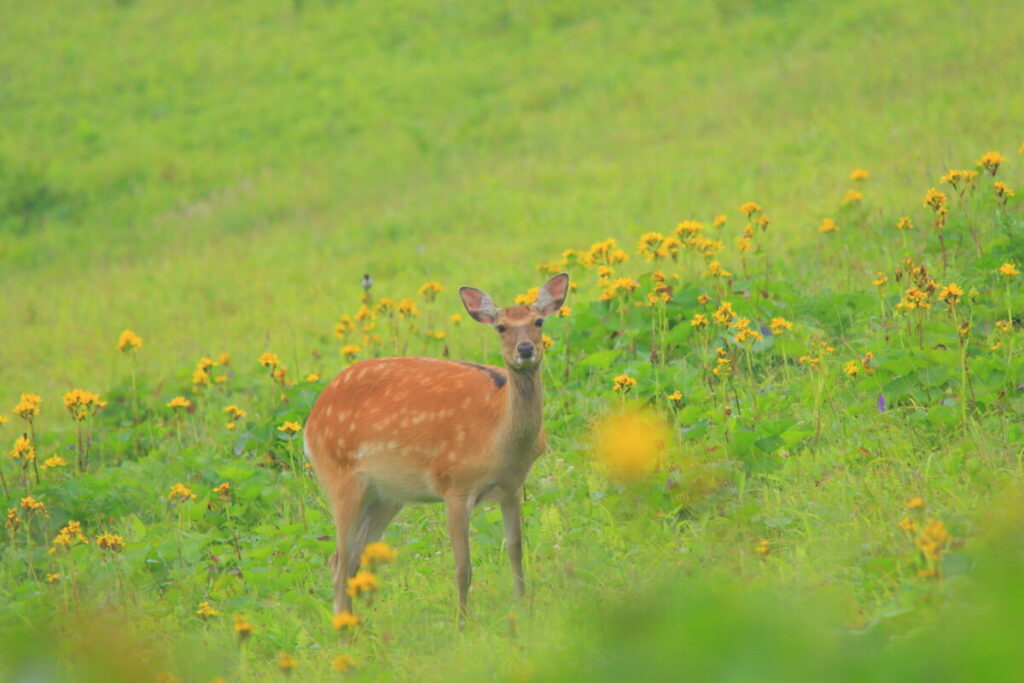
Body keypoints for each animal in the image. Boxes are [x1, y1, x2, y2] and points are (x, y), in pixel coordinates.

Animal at [307, 270, 573, 618]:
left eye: (539, 321)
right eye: (501, 327)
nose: (526, 349)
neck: (497, 435)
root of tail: (310, 423)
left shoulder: (512, 487)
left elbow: (515, 549)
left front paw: (522, 604)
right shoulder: (454, 484)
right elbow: (463, 567)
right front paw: (463, 621)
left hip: (386, 496)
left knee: (349, 558)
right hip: (340, 479)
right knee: (339, 561)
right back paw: (344, 628)